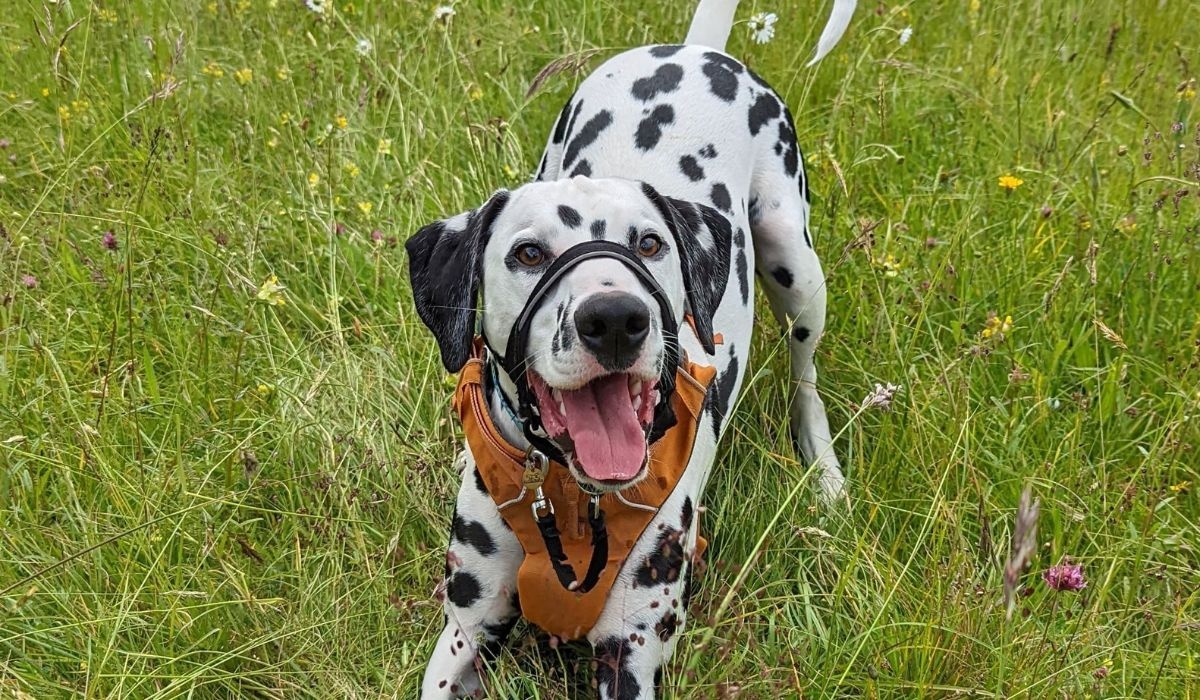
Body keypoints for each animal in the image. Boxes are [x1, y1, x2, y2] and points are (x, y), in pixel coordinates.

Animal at [408, 0, 859, 696]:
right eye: (528, 253)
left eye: (649, 243)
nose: (616, 318)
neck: (571, 496)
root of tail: (696, 49)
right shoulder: (466, 630)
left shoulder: (630, 650)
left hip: (795, 264)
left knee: (805, 376)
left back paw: (826, 476)